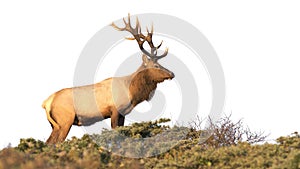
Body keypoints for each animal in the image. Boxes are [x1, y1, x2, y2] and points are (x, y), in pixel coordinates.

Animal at [42, 14, 173, 144]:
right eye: (156, 65)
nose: (172, 73)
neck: (131, 91)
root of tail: (46, 103)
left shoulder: (123, 114)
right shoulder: (115, 110)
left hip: (55, 125)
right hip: (65, 120)